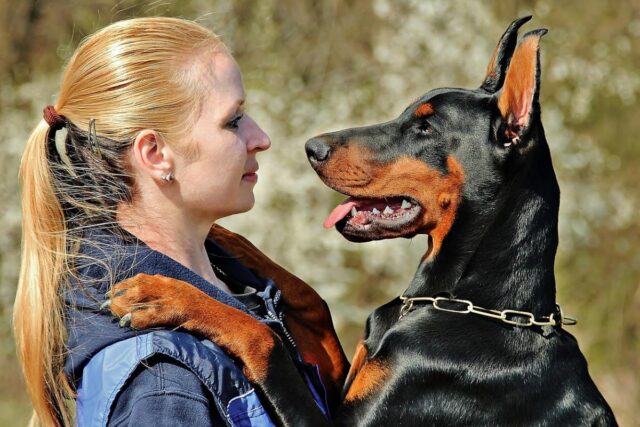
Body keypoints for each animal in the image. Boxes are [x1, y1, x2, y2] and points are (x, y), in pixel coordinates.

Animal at [107, 15, 616, 426]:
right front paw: (223, 234)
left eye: (425, 127)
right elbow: (310, 298)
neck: (470, 303)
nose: (311, 148)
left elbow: (264, 337)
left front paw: (164, 295)